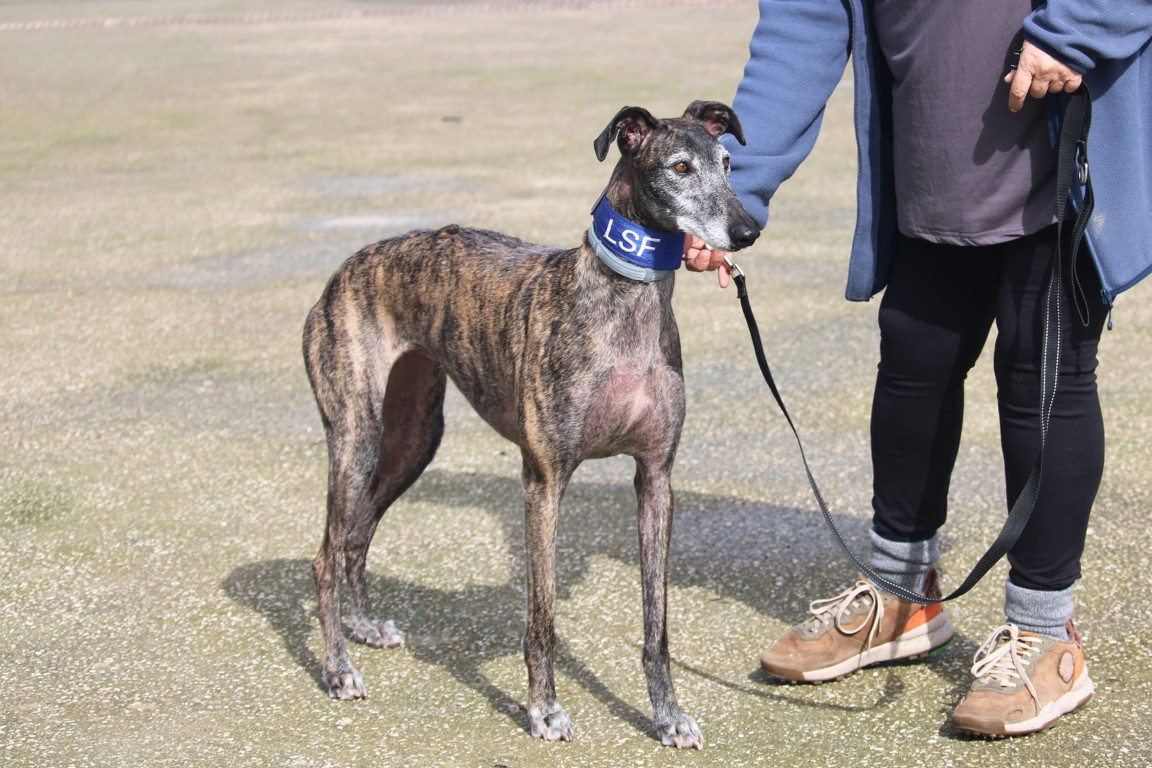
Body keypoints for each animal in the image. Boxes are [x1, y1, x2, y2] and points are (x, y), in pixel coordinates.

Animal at [302, 100, 759, 748]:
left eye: (726, 163)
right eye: (679, 167)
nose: (748, 231)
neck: (623, 304)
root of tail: (345, 267)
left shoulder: (656, 478)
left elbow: (657, 625)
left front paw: (667, 714)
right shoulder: (543, 481)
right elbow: (542, 618)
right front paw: (544, 709)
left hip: (414, 435)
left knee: (357, 533)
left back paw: (365, 626)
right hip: (356, 435)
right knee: (325, 555)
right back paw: (339, 668)